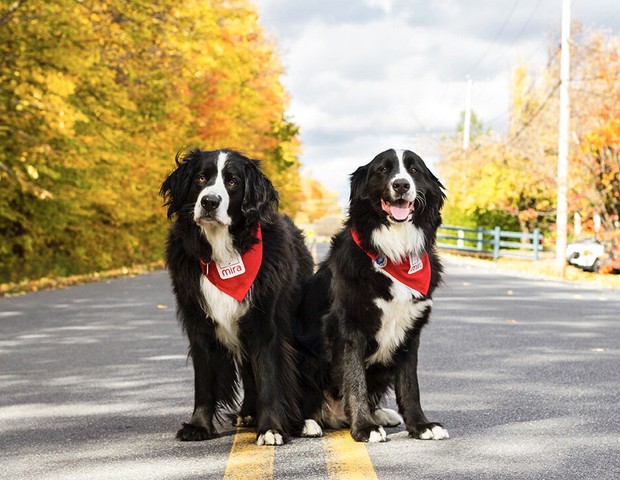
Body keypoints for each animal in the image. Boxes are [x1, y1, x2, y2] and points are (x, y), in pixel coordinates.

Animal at [161, 147, 320, 446]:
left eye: (233, 182)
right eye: (201, 178)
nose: (209, 202)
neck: (223, 252)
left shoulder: (265, 323)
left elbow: (269, 376)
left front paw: (271, 428)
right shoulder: (199, 323)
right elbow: (204, 379)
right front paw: (198, 425)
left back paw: (303, 422)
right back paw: (248, 413)